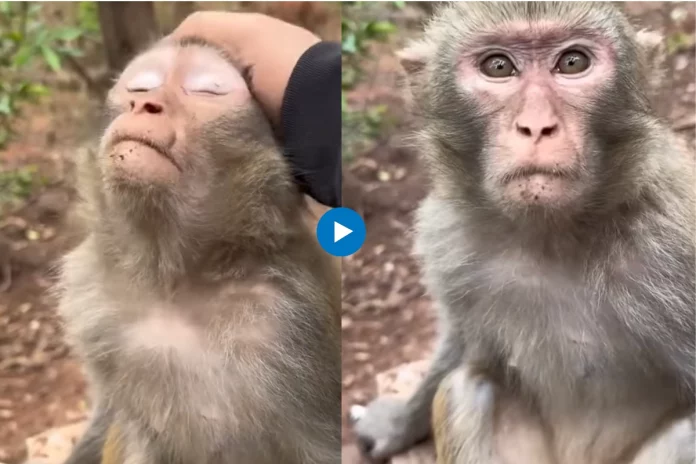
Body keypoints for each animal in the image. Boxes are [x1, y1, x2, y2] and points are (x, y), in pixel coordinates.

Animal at [57, 35, 341, 464]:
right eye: (139, 87)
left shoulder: (288, 324)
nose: (146, 105)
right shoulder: (94, 301)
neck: (172, 280)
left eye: (206, 90)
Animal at [351, 2, 696, 463]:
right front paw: (399, 422)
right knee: (466, 388)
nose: (536, 127)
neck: (547, 233)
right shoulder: (447, 237)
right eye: (498, 67)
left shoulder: (675, 234)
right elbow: (463, 342)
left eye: (573, 63)